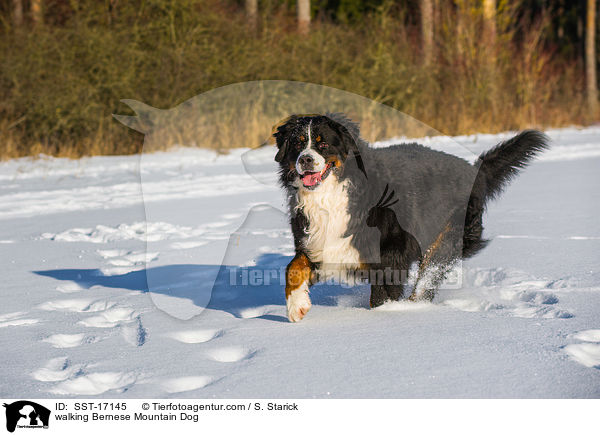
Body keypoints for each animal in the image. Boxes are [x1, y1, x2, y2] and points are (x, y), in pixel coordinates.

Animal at [274, 114, 552, 322]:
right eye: (298, 143)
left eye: (323, 144)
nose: (305, 160)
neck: (333, 195)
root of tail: (474, 170)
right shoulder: (320, 243)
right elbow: (293, 268)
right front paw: (296, 306)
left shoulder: (391, 251)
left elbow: (381, 295)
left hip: (444, 240)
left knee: (426, 282)